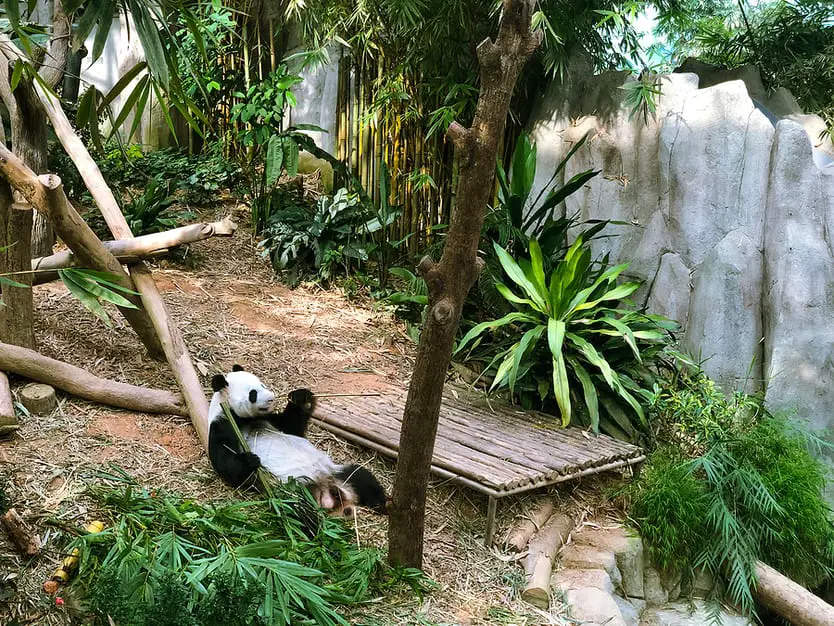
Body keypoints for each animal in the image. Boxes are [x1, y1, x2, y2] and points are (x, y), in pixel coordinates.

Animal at [207, 365, 388, 517]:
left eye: (263, 385)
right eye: (253, 394)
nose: (271, 398)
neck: (244, 418)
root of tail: (330, 494)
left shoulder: (271, 420)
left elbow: (293, 427)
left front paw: (300, 397)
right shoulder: (223, 424)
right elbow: (226, 462)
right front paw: (250, 460)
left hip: (338, 471)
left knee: (361, 476)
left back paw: (381, 504)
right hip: (295, 492)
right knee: (299, 512)